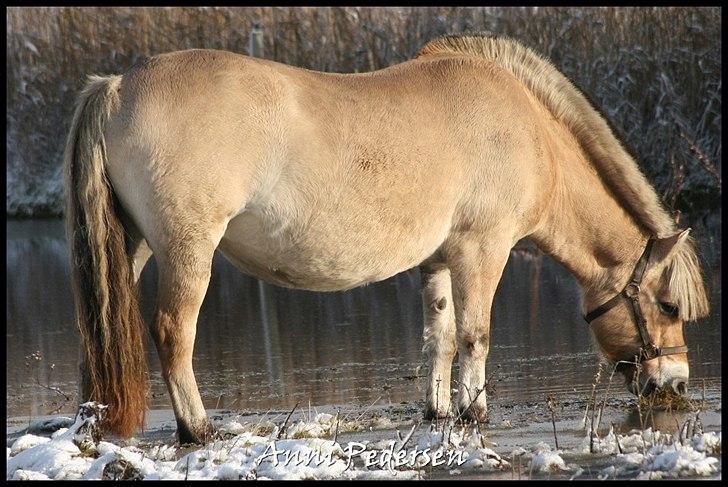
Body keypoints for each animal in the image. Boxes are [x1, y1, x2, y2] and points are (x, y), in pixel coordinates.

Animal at [65, 34, 708, 444]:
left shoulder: (439, 261)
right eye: (668, 306)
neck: (525, 129)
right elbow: (475, 336)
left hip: (134, 249)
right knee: (174, 333)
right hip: (187, 250)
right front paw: (474, 413)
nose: (674, 383)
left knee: (101, 326)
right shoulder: (483, 250)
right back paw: (197, 430)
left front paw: (441, 411)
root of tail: (117, 86)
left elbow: (440, 340)